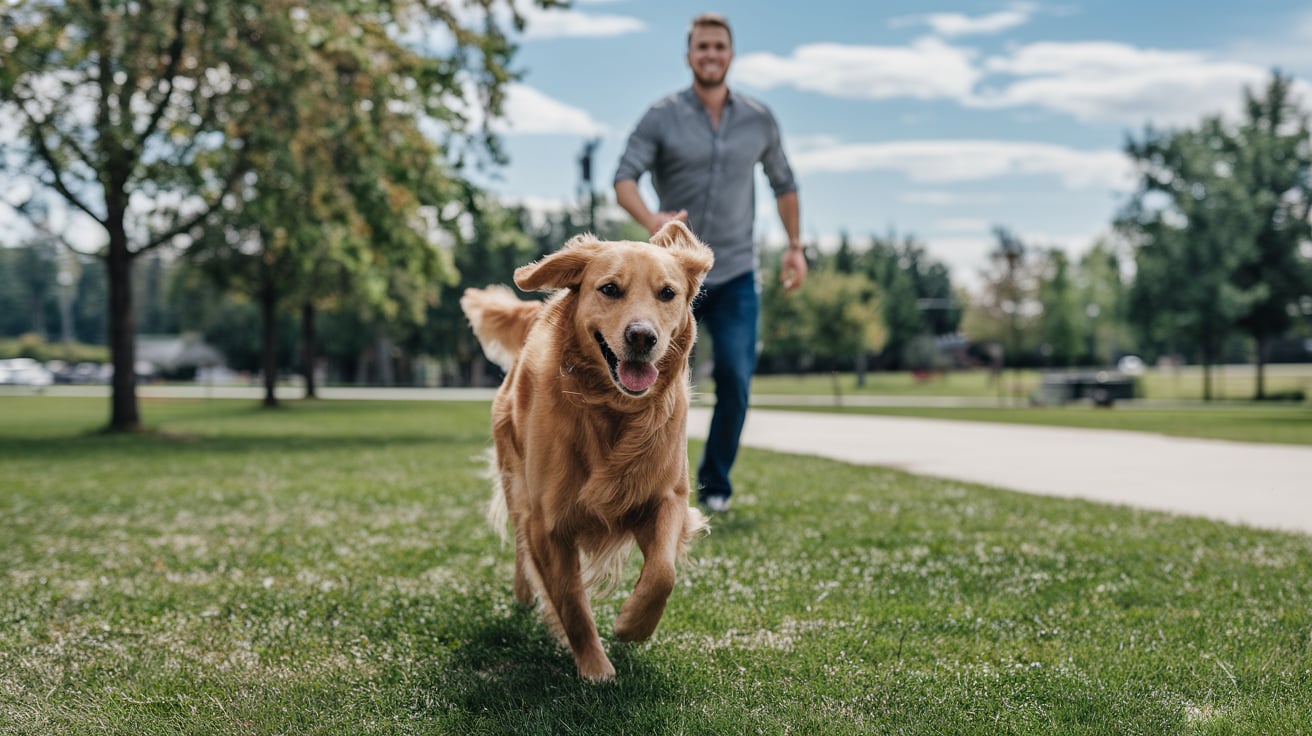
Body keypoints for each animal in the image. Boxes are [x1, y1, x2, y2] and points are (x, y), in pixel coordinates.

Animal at [464, 220, 718, 682]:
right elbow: (570, 601)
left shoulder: (665, 496)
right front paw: (595, 667)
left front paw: (632, 623)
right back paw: (524, 592)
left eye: (667, 293)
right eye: (610, 289)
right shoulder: (547, 522)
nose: (642, 337)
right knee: (519, 544)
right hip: (515, 481)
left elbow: (663, 572)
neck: (612, 411)